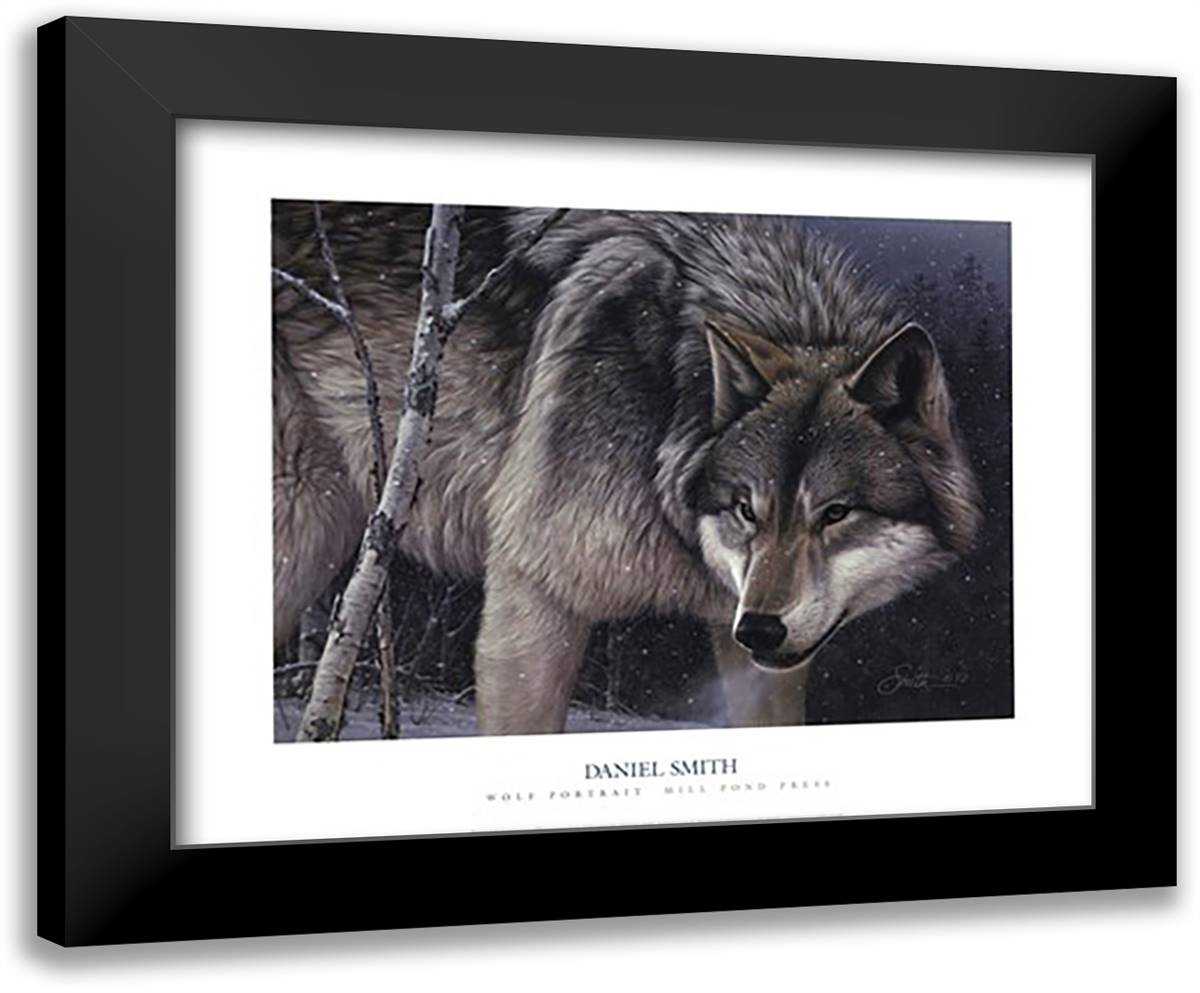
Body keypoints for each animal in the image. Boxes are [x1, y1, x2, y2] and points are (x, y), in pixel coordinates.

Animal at [273, 204, 982, 734]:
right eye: (746, 508)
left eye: (836, 512)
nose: (760, 627)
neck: (668, 404)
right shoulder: (534, 591)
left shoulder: (745, 635)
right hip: (299, 538)